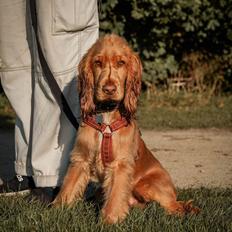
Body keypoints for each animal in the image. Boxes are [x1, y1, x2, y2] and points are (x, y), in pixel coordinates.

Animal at [53, 34, 199, 223]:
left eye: (121, 63)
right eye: (97, 62)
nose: (109, 89)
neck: (106, 119)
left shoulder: (120, 164)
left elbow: (115, 195)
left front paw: (109, 220)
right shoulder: (81, 158)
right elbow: (69, 187)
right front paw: (55, 211)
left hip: (146, 185)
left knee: (176, 207)